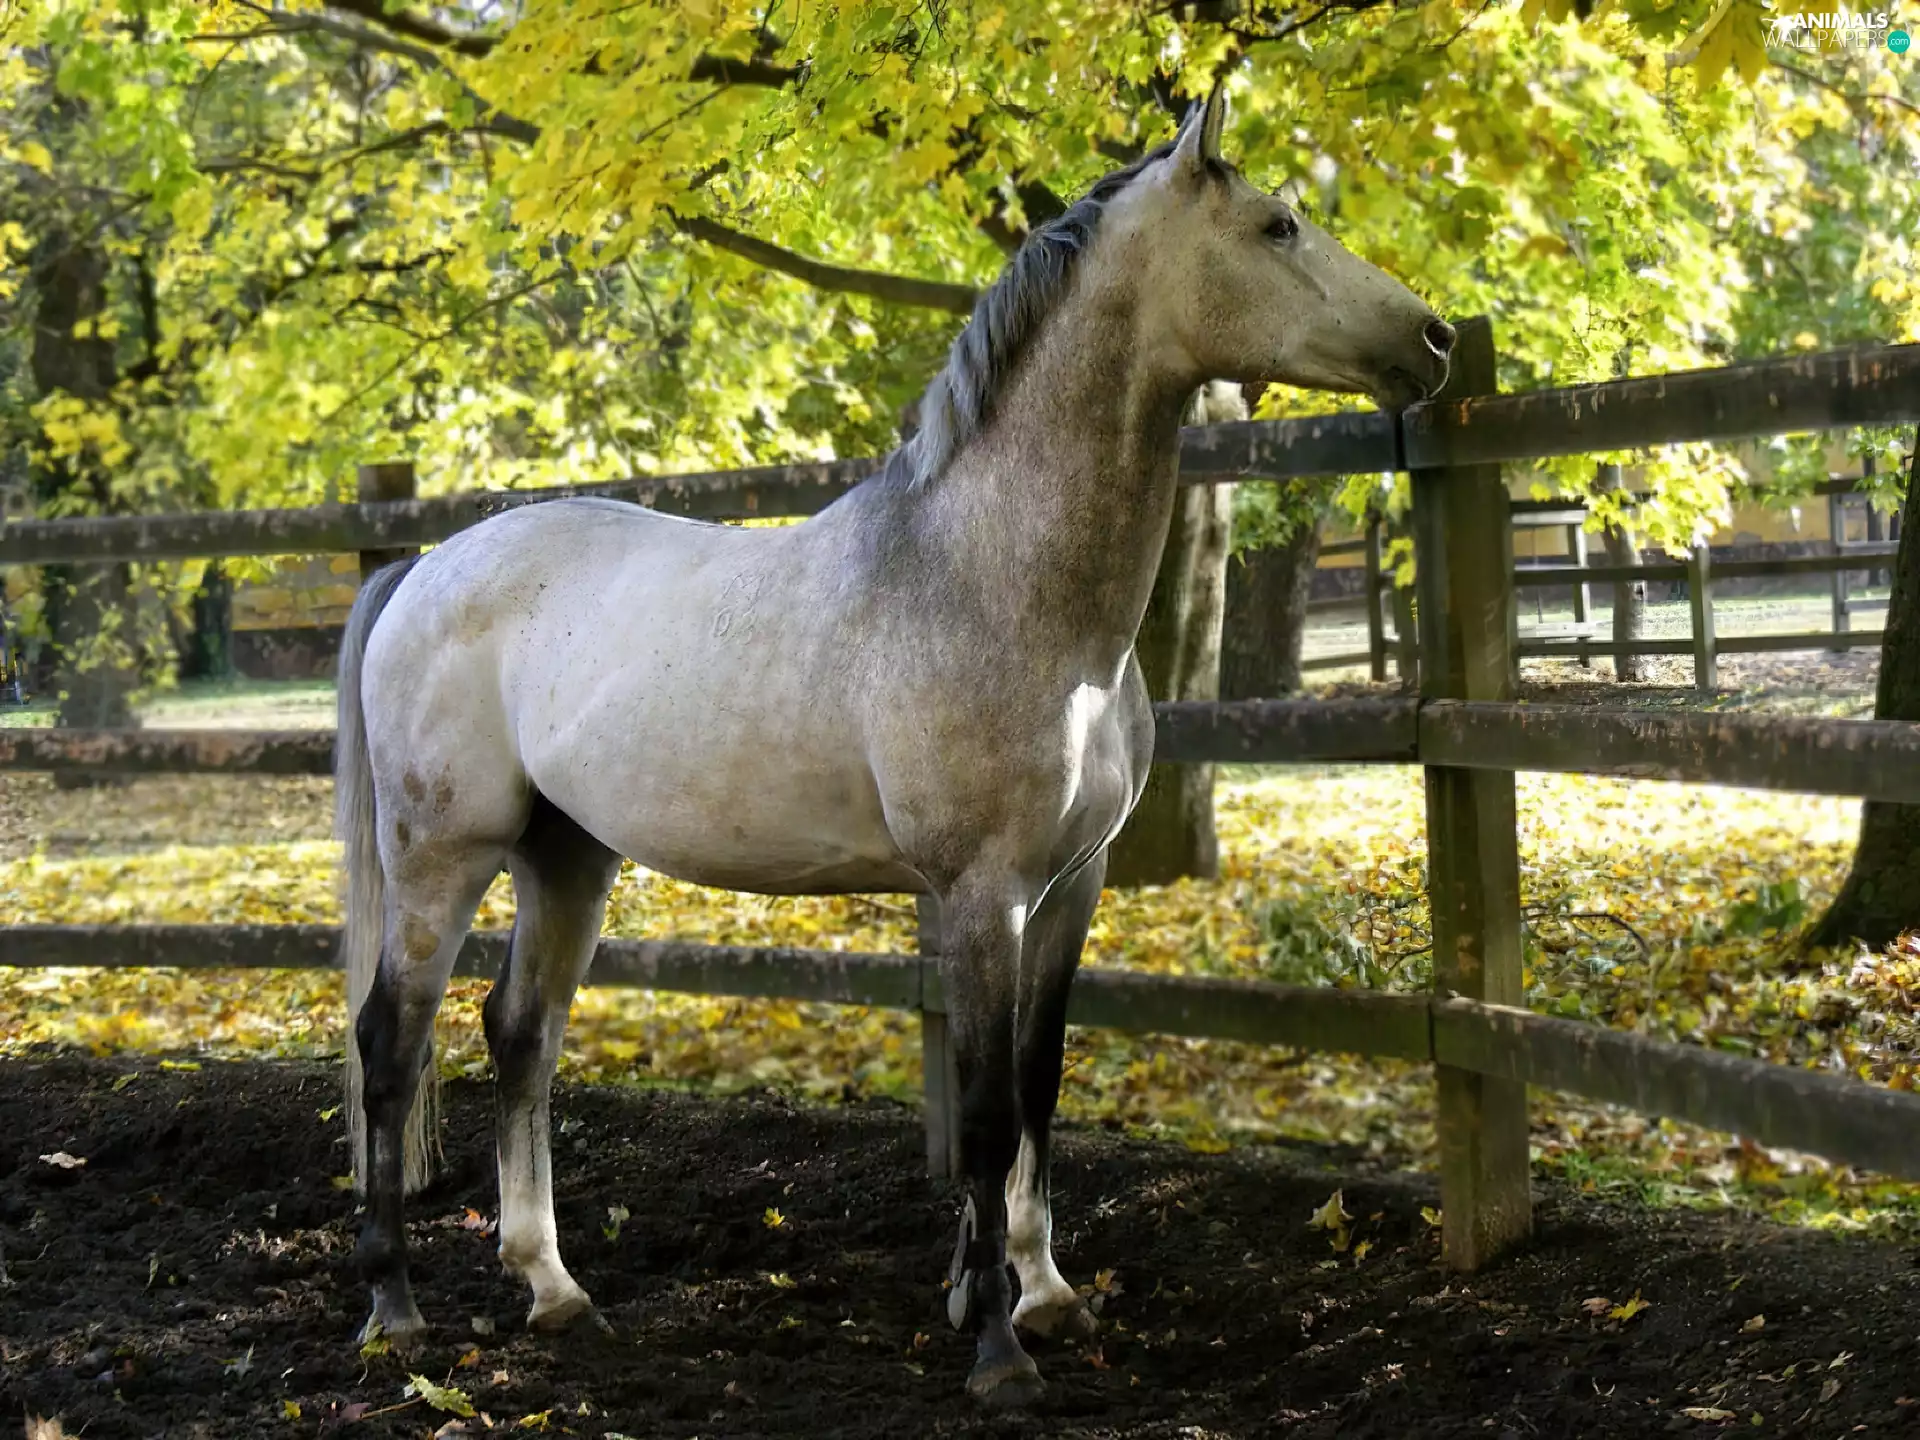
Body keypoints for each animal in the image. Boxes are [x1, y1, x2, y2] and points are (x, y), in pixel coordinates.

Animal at [336, 84, 1454, 1409]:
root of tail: (421, 569)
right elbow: (981, 1112)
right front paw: (998, 1351)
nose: (1436, 339)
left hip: (569, 855)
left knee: (522, 1032)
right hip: (442, 859)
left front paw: (1038, 1293)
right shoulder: (980, 897)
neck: (995, 583)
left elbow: (1037, 1086)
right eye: (1278, 225)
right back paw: (395, 1311)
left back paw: (554, 1290)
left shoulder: (1070, 890)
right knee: (391, 1042)